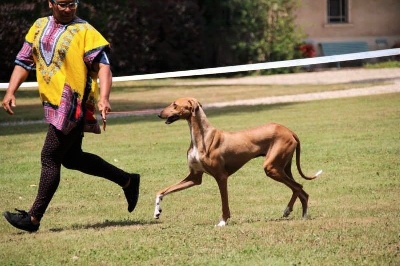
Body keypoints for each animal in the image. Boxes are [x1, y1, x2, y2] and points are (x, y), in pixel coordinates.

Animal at [153, 97, 322, 227]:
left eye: (174, 104)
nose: (159, 114)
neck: (201, 136)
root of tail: (289, 131)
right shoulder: (194, 178)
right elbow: (162, 191)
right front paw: (157, 211)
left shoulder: (221, 177)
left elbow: (224, 203)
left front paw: (223, 222)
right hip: (283, 167)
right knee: (300, 190)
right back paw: (300, 214)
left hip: (272, 168)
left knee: (298, 187)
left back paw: (291, 211)